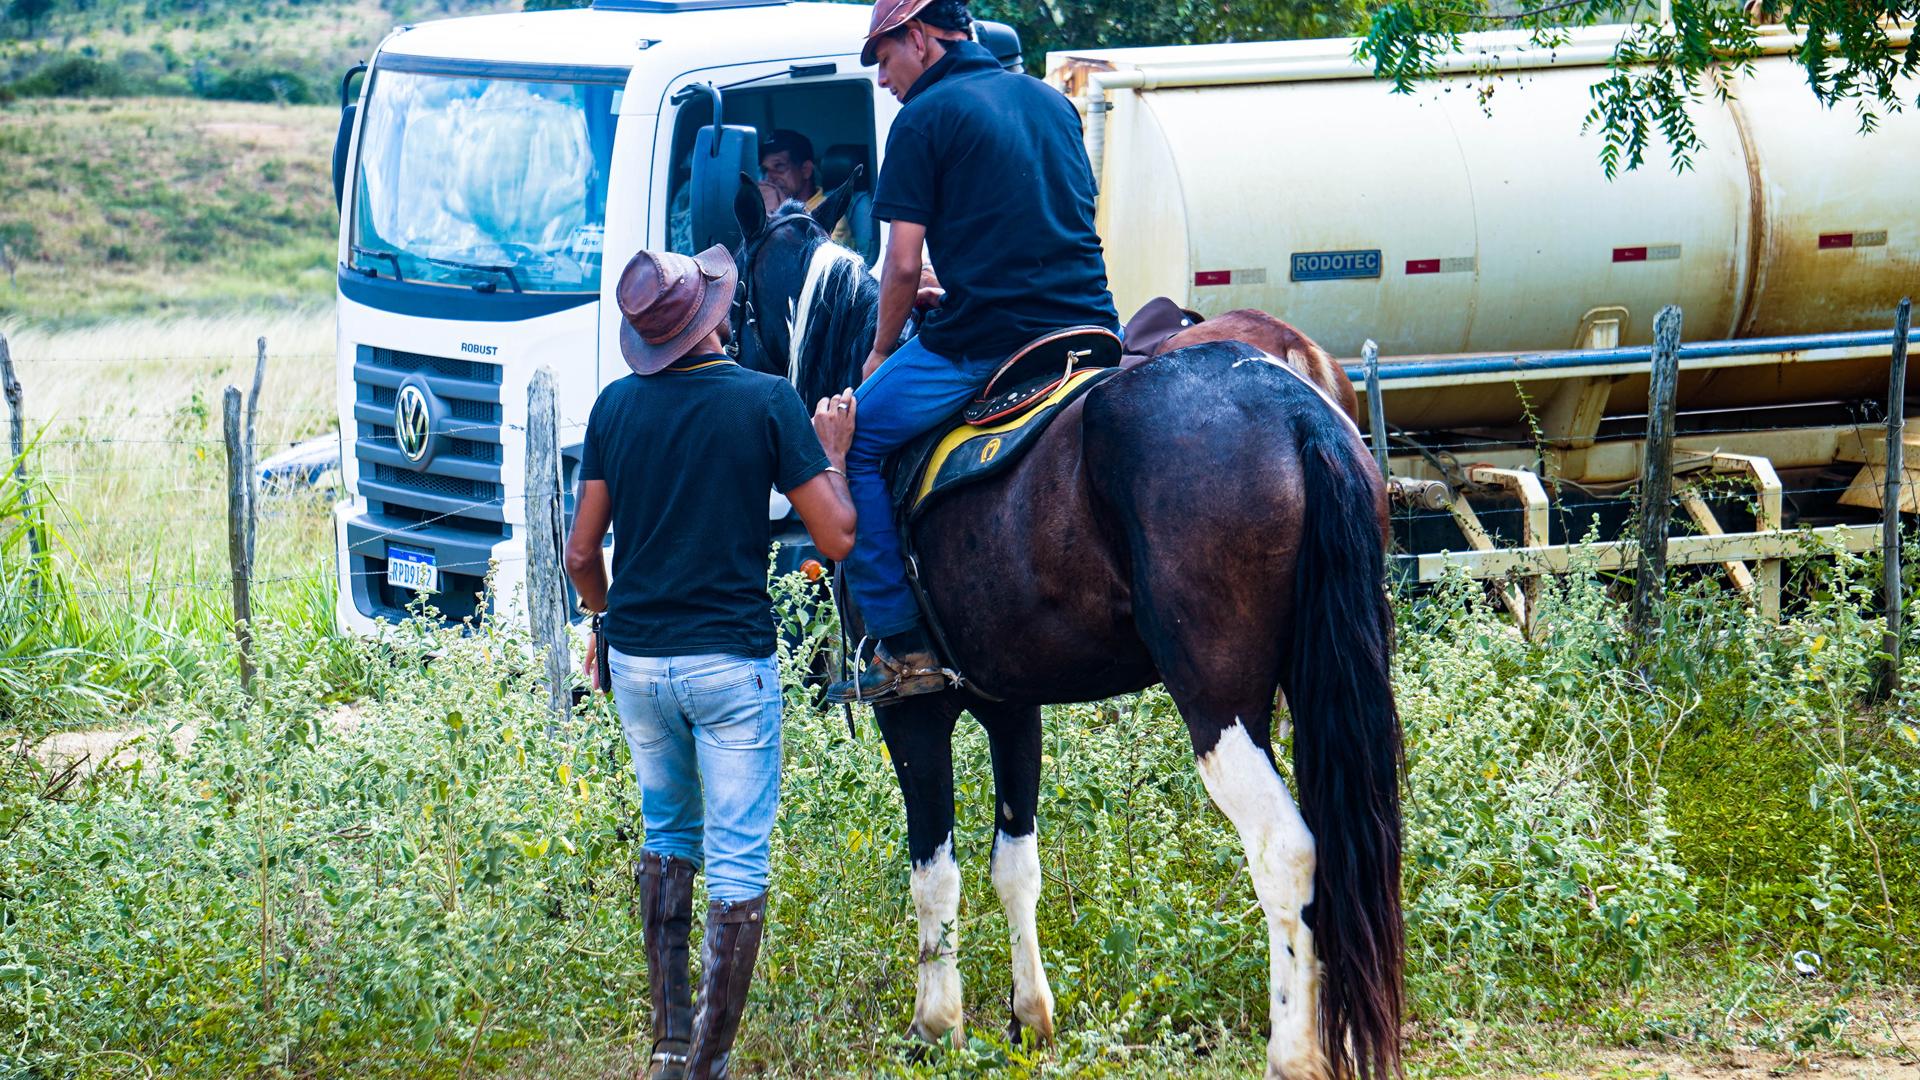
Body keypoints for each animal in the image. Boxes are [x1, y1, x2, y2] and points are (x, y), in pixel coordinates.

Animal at [731, 177, 1403, 1080]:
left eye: (738, 292)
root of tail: (1298, 411)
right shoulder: (1012, 704)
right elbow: (1015, 864)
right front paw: (1031, 1019)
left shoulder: (913, 712)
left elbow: (933, 870)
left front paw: (937, 1025)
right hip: (1321, 682)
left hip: (1220, 703)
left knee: (1286, 850)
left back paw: (1292, 1053)